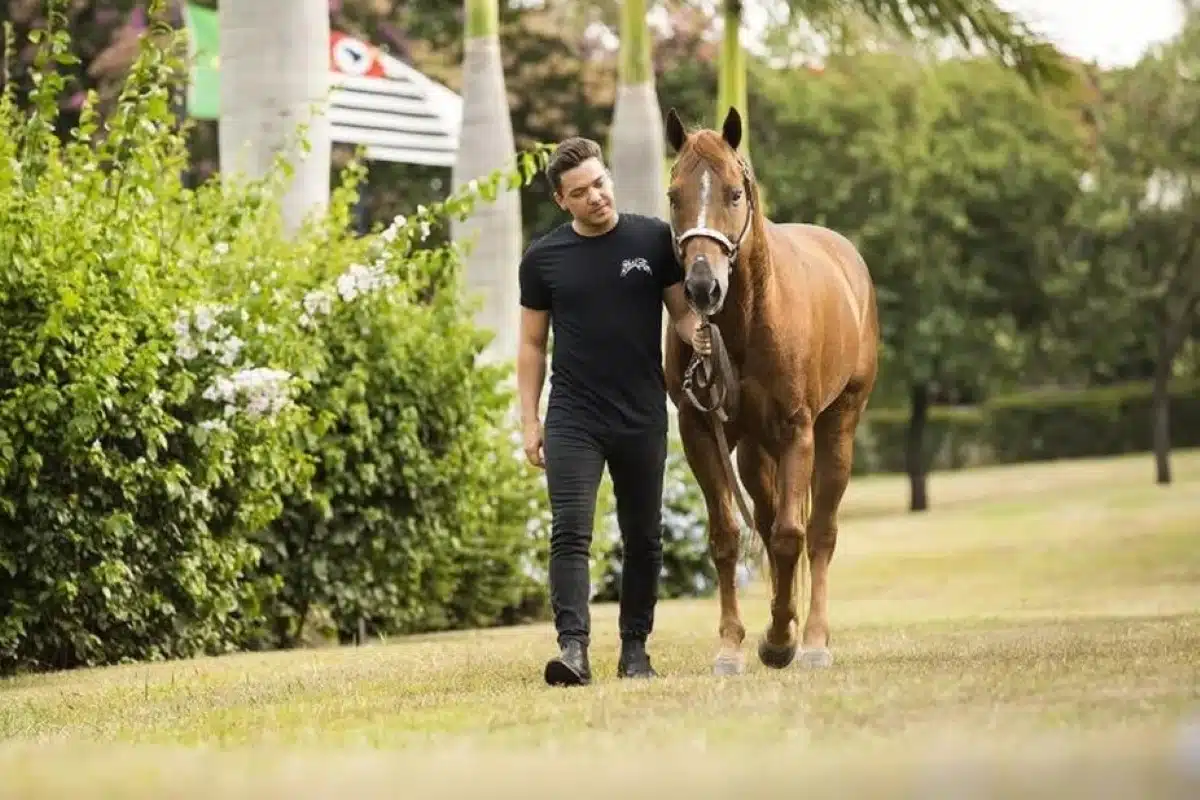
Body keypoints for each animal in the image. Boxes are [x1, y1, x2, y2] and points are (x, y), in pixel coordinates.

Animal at [662, 104, 878, 676]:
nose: (702, 287)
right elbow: (727, 536)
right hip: (754, 451)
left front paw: (784, 641)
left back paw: (814, 639)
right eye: (673, 194)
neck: (746, 321)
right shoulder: (700, 430)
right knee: (765, 518)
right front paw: (735, 645)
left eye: (735, 192)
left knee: (818, 533)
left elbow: (789, 537)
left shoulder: (797, 429)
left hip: (836, 430)